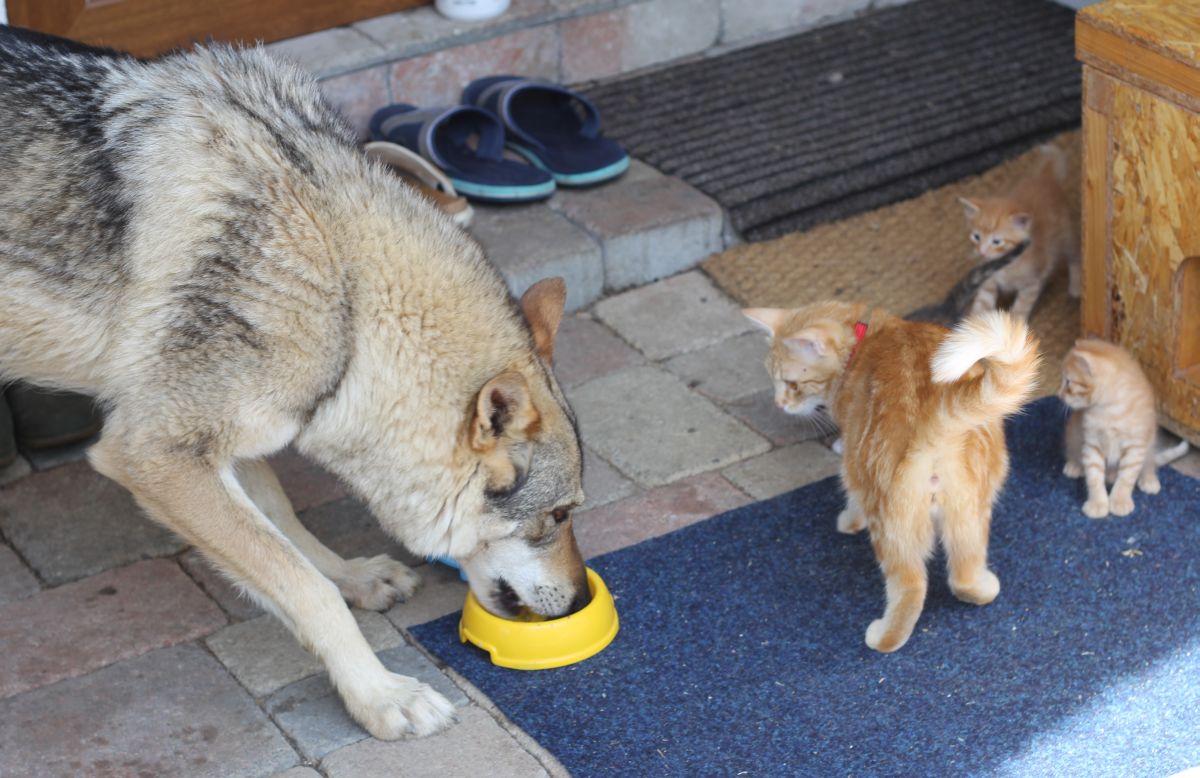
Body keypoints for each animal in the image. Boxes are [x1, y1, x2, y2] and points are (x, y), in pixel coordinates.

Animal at [0, 25, 590, 739]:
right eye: (559, 516)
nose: (582, 599)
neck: (345, 289)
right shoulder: (155, 455)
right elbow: (303, 587)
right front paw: (380, 695)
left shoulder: (236, 436)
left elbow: (290, 532)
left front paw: (353, 576)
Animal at [739, 302, 1041, 648]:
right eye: (773, 381)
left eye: (792, 384)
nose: (779, 404)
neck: (867, 336)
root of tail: (933, 429)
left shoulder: (853, 465)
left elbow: (851, 497)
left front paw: (848, 521)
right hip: (969, 513)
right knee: (963, 574)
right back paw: (984, 587)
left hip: (891, 526)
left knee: (911, 585)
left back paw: (884, 638)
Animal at [960, 144, 1084, 316]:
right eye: (976, 237)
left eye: (997, 241)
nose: (982, 252)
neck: (1006, 264)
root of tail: (1045, 179)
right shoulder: (988, 283)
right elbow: (981, 307)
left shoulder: (1030, 285)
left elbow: (1020, 309)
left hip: (1066, 235)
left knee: (1075, 256)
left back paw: (1076, 287)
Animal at [1060, 338, 1190, 516]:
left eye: (1068, 382)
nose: (1059, 394)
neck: (1109, 411)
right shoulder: (1092, 444)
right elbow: (1094, 476)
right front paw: (1097, 503)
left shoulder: (1136, 446)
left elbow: (1127, 476)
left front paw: (1119, 500)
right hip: (1072, 431)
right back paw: (1074, 465)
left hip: (1150, 440)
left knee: (1149, 461)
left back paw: (1149, 478)